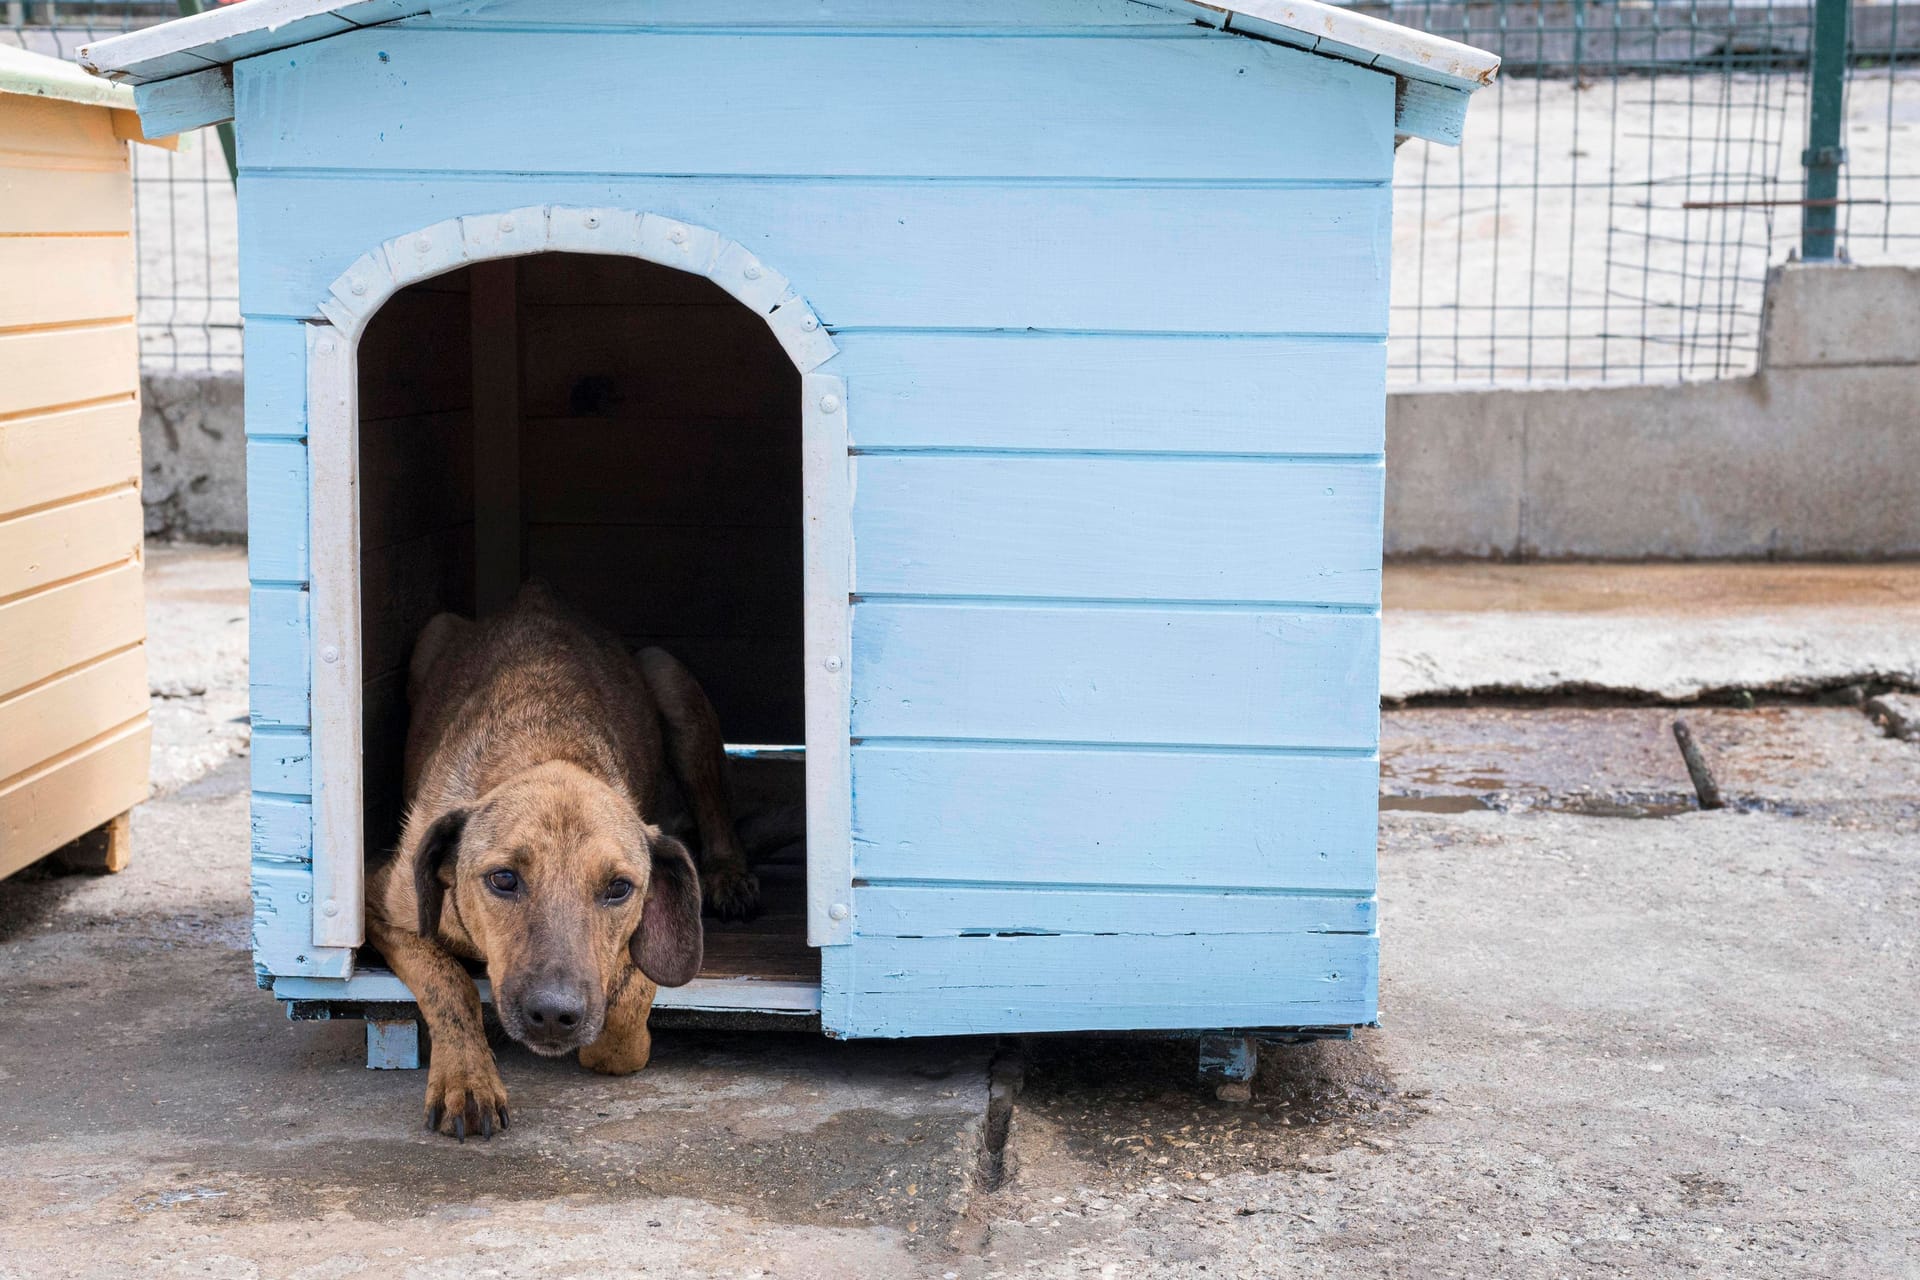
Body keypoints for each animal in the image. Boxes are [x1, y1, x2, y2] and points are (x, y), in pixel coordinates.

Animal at [366, 587, 756, 1136]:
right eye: (503, 879)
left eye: (619, 888)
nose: (554, 1016)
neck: (543, 752)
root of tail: (537, 594)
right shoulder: (381, 907)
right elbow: (448, 982)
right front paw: (467, 1079)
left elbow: (624, 1014)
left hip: (669, 676)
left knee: (715, 801)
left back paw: (728, 873)